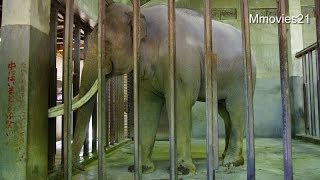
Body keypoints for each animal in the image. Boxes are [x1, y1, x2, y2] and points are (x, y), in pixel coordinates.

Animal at [71, 0, 256, 175]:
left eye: (106, 44)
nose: (81, 167)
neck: (142, 15)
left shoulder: (181, 63)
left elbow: (180, 103)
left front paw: (183, 170)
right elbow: (147, 107)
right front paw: (141, 168)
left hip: (241, 78)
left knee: (236, 109)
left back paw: (231, 162)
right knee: (225, 112)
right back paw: (226, 156)